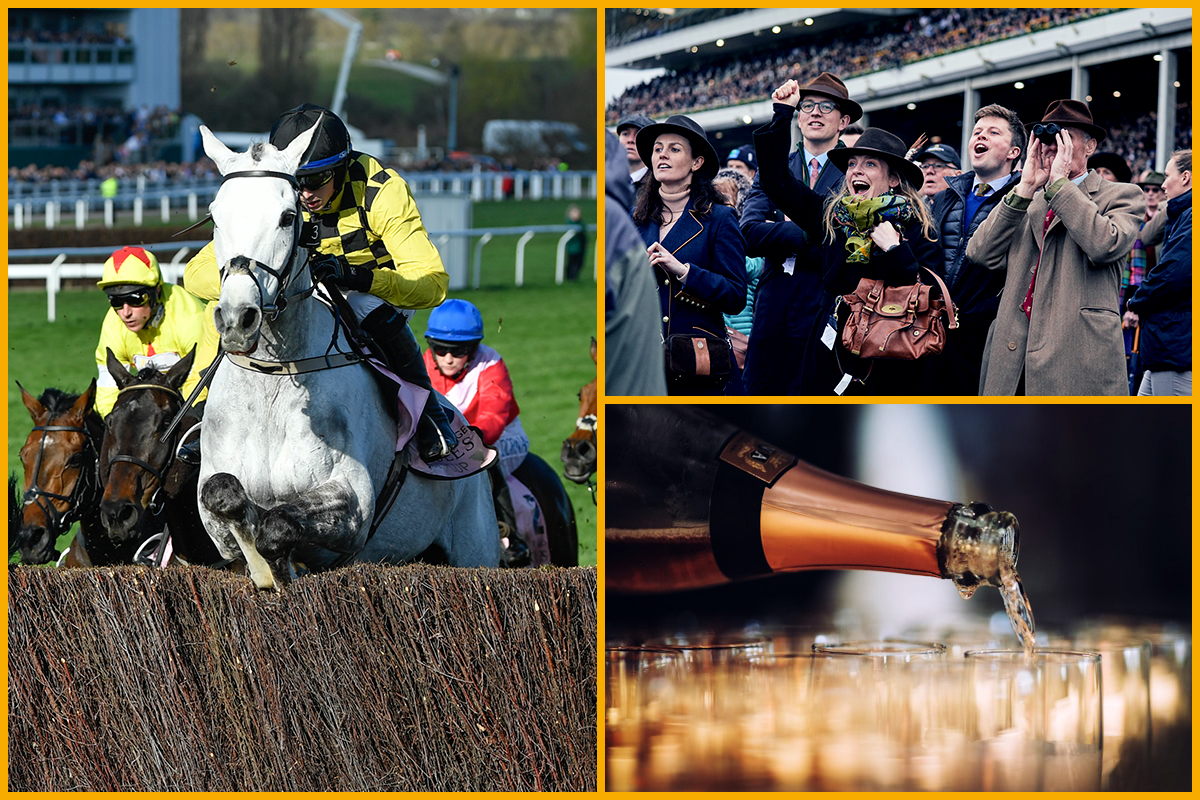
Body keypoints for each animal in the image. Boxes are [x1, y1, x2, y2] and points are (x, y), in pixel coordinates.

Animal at [195, 123, 501, 587]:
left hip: (475, 548)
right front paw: (260, 565)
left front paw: (274, 568)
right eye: (215, 216)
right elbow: (225, 495)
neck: (273, 376)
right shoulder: (214, 510)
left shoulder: (354, 501)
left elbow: (278, 524)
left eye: (287, 217)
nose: (237, 317)